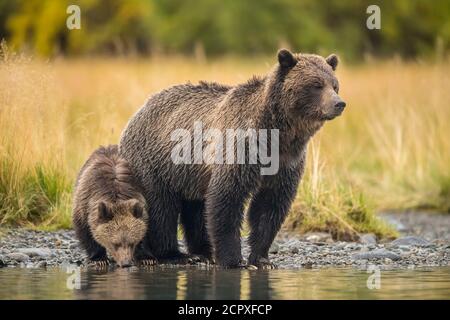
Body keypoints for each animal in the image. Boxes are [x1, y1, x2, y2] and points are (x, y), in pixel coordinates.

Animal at [118, 48, 344, 268]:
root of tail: (138, 111)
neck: (278, 135)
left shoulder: (286, 162)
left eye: (335, 85)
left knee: (195, 210)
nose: (339, 103)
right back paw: (171, 255)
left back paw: (203, 253)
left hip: (190, 174)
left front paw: (262, 259)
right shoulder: (240, 149)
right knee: (161, 209)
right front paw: (233, 259)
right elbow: (227, 199)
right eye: (316, 84)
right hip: (154, 163)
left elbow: (270, 206)